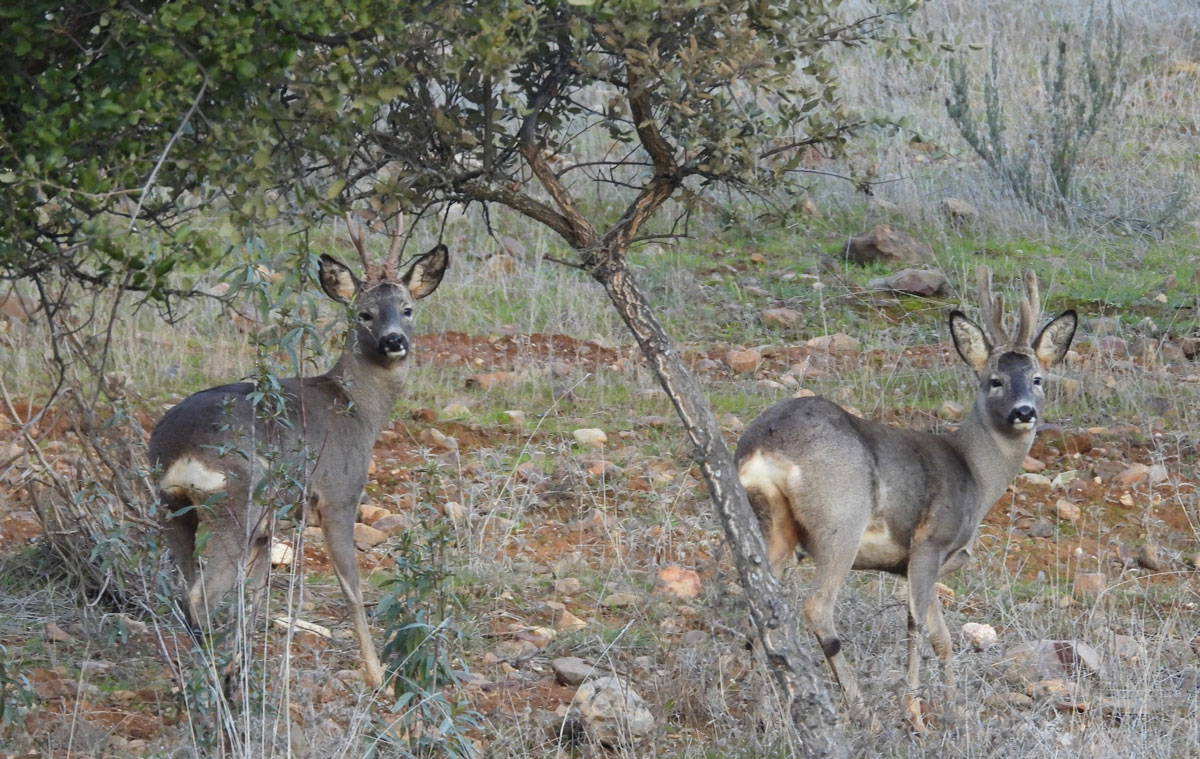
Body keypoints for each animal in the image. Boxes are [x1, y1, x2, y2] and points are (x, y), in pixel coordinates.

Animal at [150, 220, 448, 686]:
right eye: (363, 313)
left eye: (407, 308)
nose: (394, 340)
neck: (357, 408)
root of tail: (178, 447)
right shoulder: (339, 495)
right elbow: (352, 588)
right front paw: (377, 677)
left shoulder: (269, 526)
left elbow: (255, 596)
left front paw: (241, 665)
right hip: (234, 500)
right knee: (201, 595)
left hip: (174, 507)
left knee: (184, 589)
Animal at [729, 267, 1080, 730]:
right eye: (995, 381)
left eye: (1038, 379)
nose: (1024, 412)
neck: (973, 471)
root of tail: (763, 446)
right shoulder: (929, 543)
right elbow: (917, 626)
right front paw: (914, 712)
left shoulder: (930, 563)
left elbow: (943, 637)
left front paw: (955, 709)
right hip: (841, 520)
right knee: (817, 607)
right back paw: (861, 712)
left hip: (774, 527)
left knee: (758, 609)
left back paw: (766, 716)